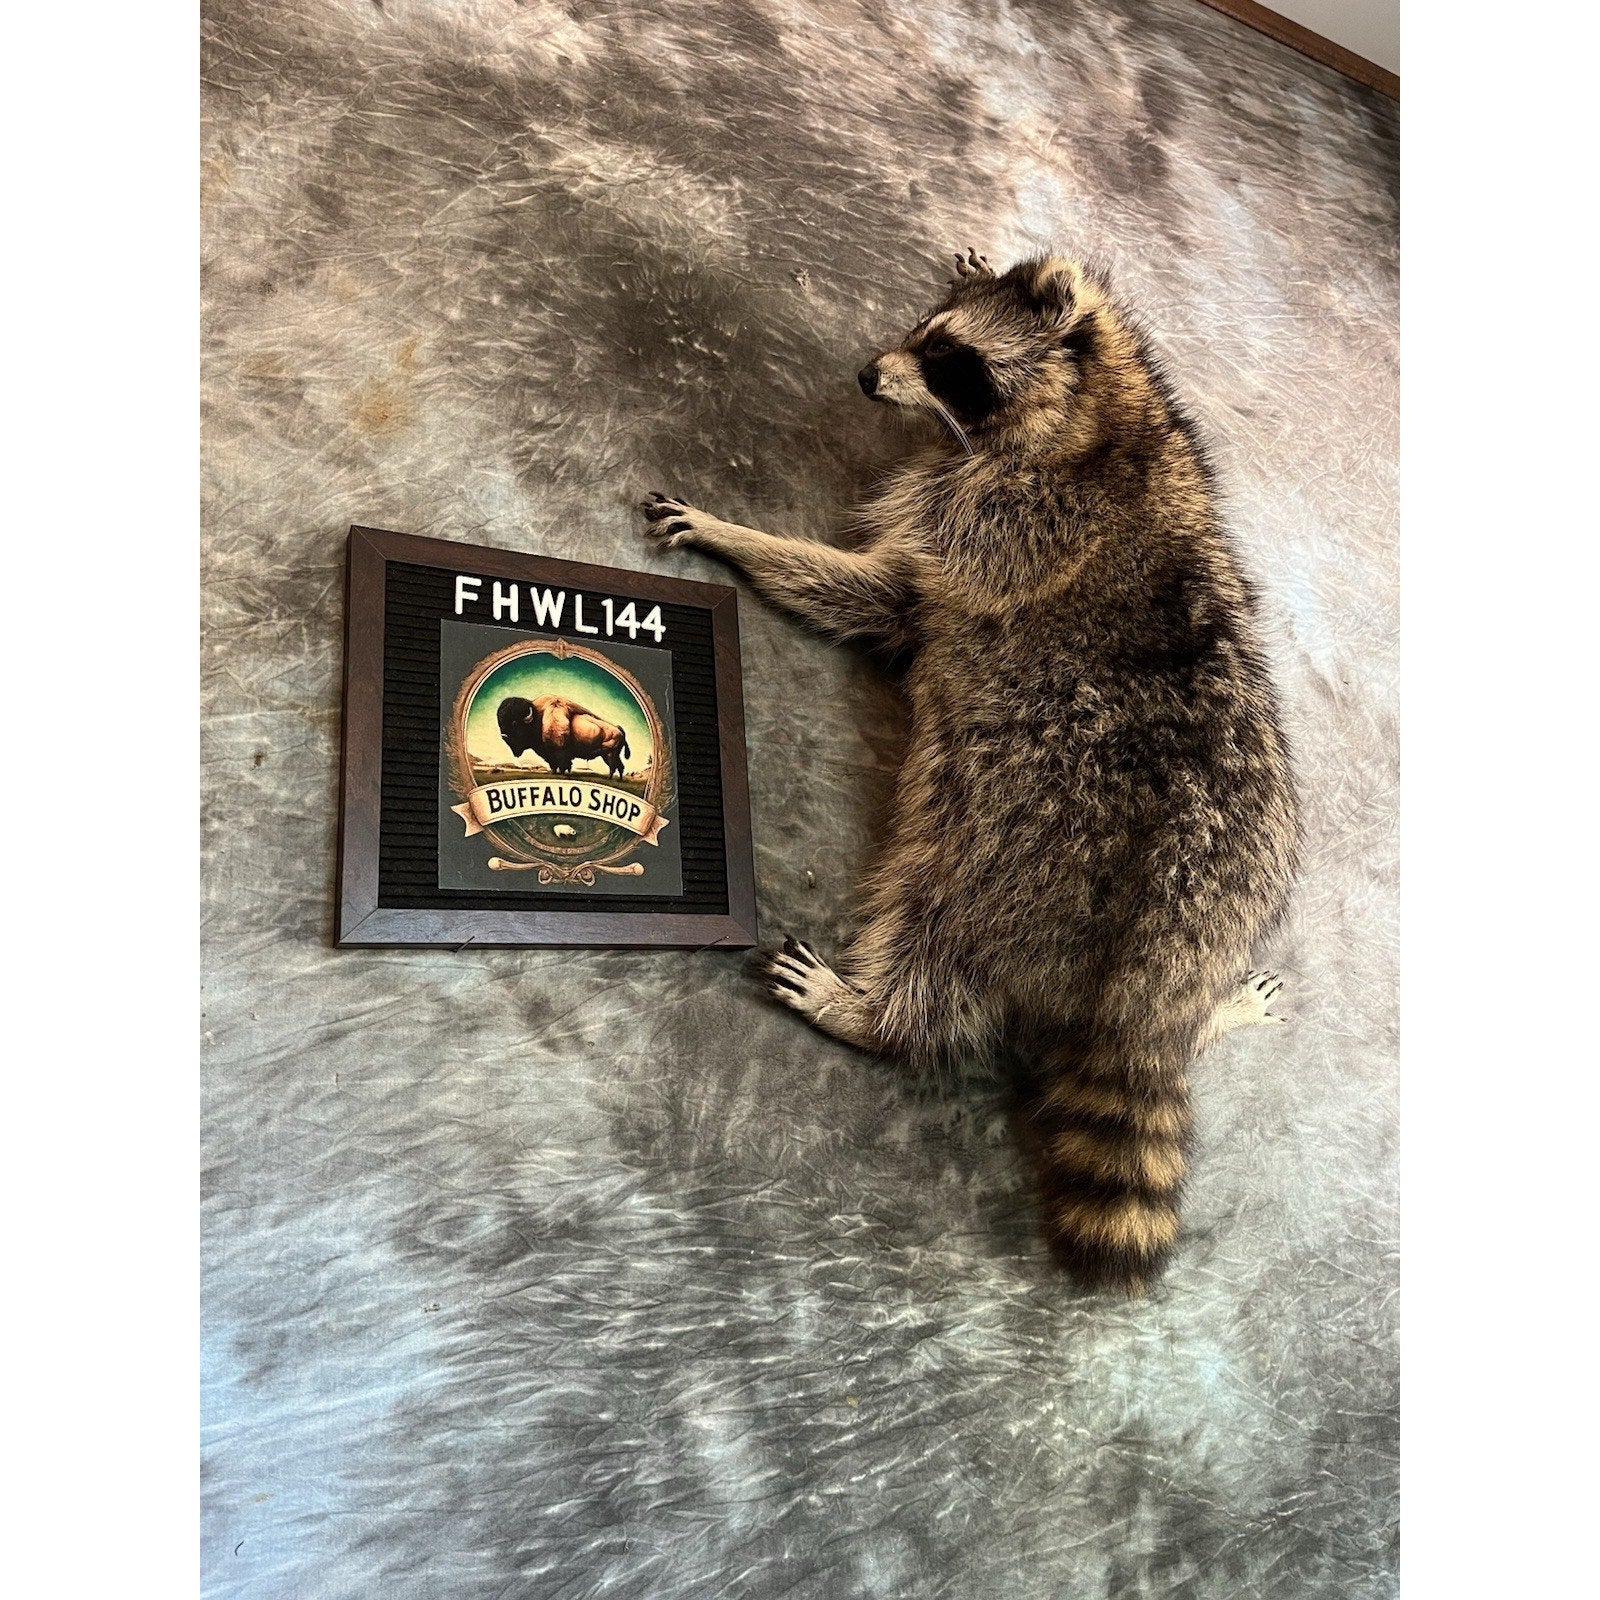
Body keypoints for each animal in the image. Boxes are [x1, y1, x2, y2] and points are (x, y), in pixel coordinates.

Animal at [640, 251, 1298, 1292]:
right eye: (925, 329)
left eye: (954, 360)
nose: (868, 375)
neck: (1104, 418)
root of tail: (1155, 969)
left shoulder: (994, 527)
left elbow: (876, 590)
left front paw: (735, 534)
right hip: (1251, 873)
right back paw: (1214, 1012)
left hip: (1007, 859)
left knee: (934, 939)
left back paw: (872, 1012)